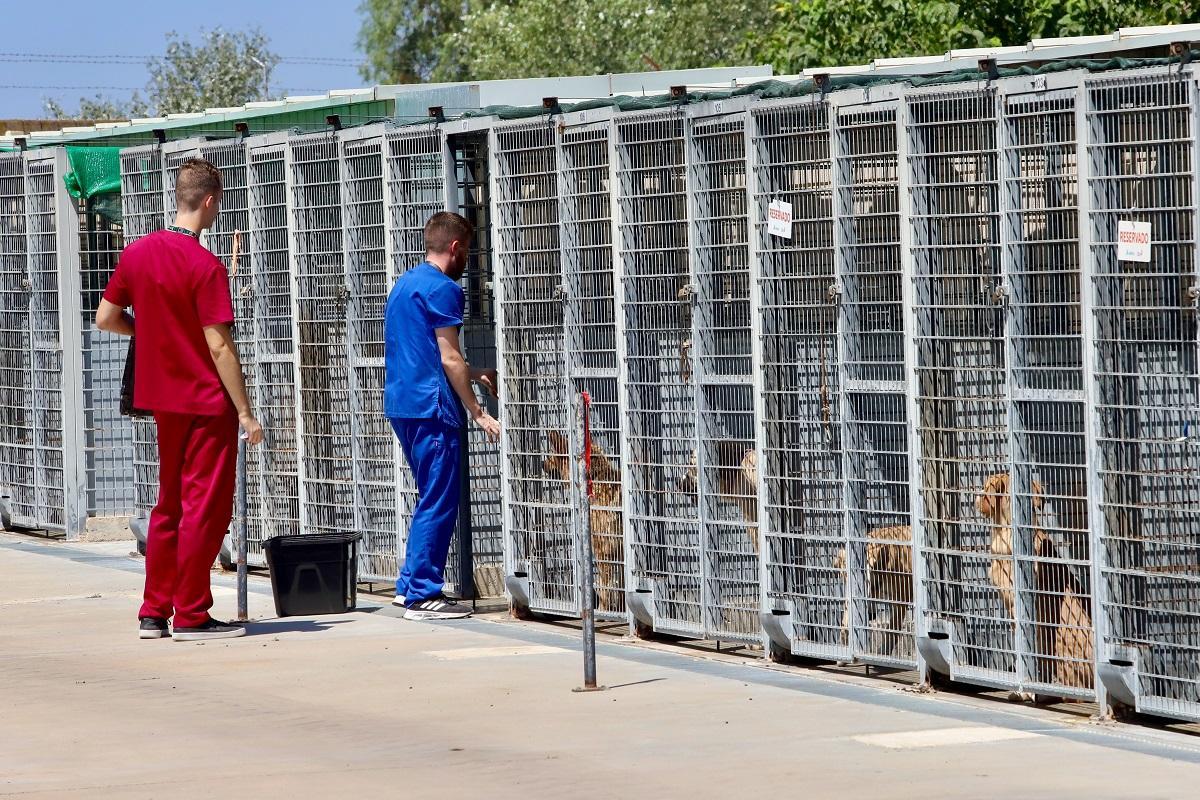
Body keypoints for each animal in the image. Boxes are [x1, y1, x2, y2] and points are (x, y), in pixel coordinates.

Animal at [540, 431, 624, 614]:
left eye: (550, 454)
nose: (542, 464)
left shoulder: (603, 550)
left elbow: (606, 586)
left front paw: (603, 610)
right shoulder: (617, 551)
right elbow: (620, 583)